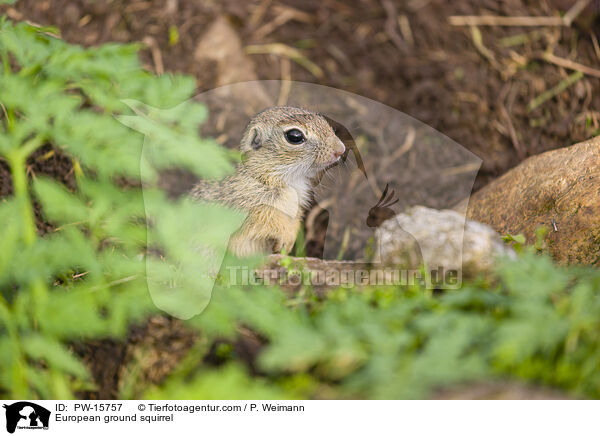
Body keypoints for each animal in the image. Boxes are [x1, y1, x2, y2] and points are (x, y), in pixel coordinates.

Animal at [190, 106, 344, 255]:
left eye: (322, 120)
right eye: (294, 136)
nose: (340, 150)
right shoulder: (249, 210)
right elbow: (267, 221)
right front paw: (285, 238)